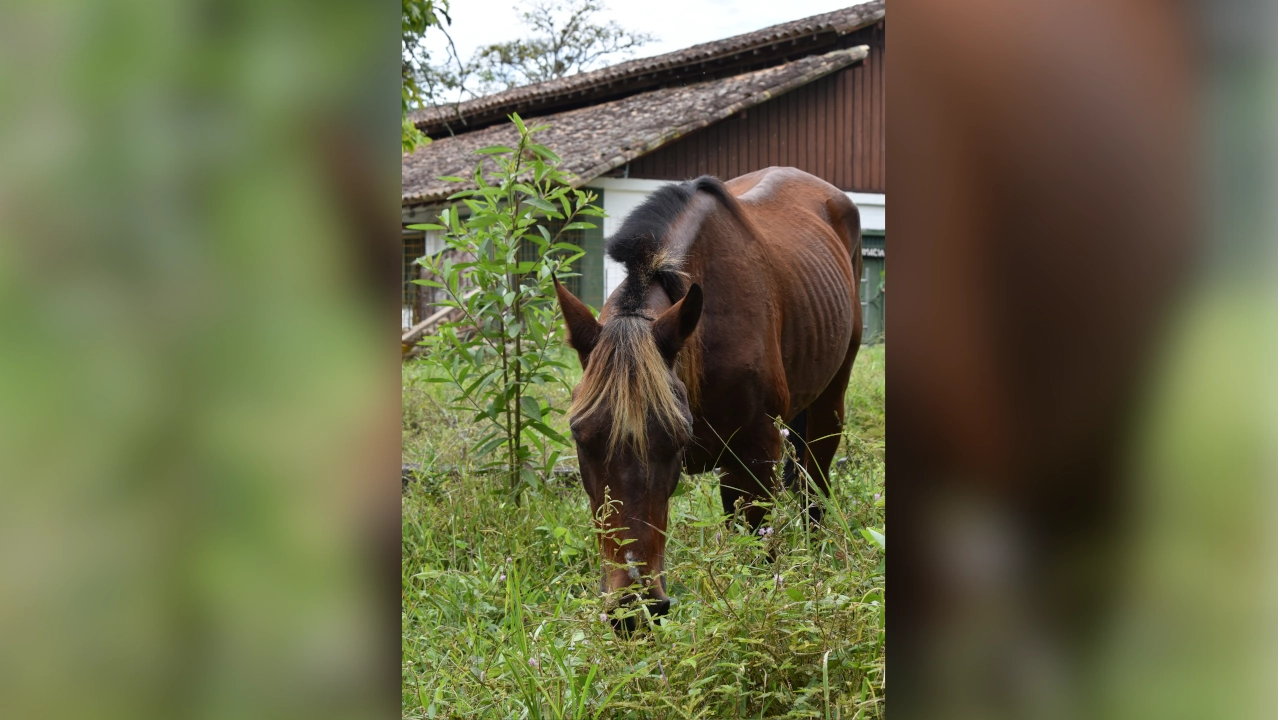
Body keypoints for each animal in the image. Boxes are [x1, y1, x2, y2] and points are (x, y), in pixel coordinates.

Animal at [554, 167, 863, 630]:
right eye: (579, 435)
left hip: (829, 404)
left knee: (815, 485)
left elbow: (754, 555)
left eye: (675, 438)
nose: (634, 611)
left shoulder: (756, 456)